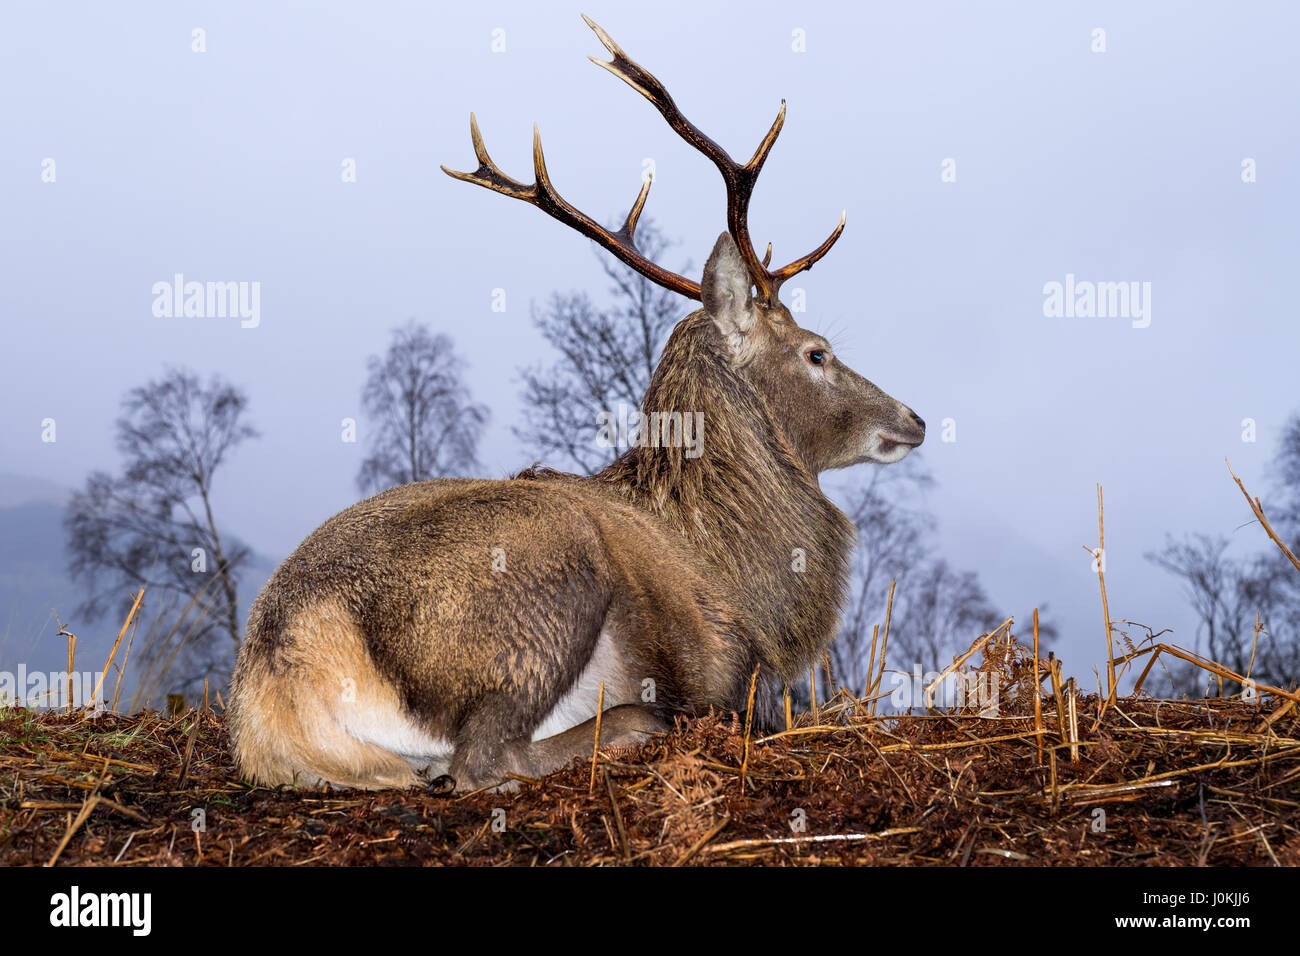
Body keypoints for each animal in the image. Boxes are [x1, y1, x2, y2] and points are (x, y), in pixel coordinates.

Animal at [228, 16, 925, 793]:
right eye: (817, 353)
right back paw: (632, 725)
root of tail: (279, 674)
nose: (914, 419)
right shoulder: (730, 669)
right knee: (484, 759)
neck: (743, 576)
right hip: (549, 578)